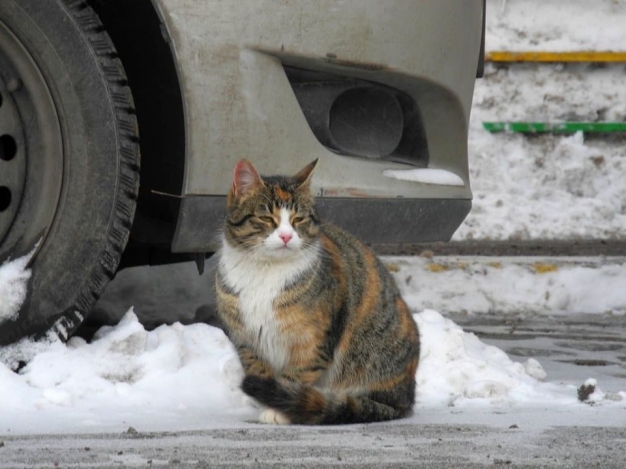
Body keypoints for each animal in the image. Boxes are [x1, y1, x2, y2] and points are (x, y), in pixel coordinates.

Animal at [214, 158, 420, 424]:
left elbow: (297, 374)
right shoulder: (246, 340)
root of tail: (406, 399)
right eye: (267, 218)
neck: (265, 271)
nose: (286, 236)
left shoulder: (312, 341)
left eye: (298, 219)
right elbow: (260, 371)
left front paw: (279, 409)